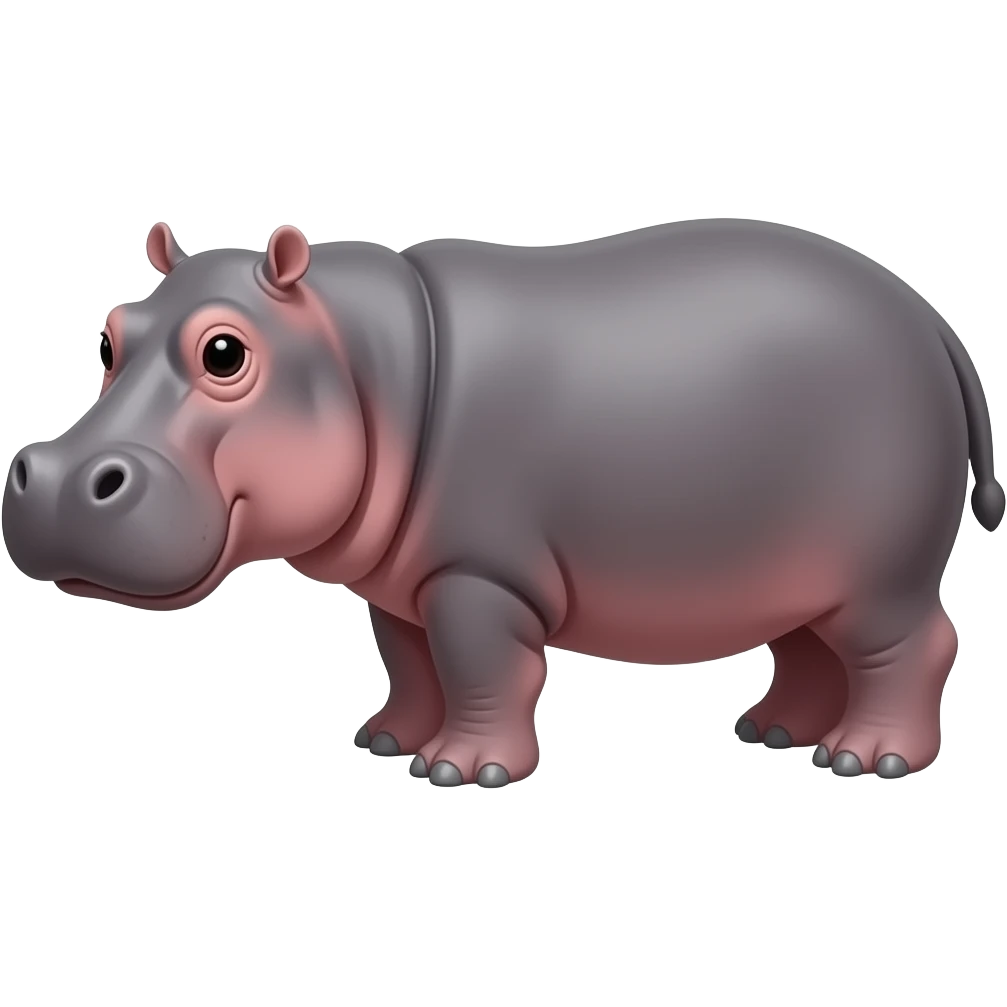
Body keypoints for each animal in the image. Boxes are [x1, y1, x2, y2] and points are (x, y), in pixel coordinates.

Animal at [2, 219, 1000, 787]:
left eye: (224, 352)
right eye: (110, 333)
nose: (49, 478)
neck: (363, 354)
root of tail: (933, 321)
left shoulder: (475, 575)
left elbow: (482, 667)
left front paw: (460, 771)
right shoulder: (400, 581)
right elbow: (411, 664)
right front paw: (386, 743)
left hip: (878, 573)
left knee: (913, 642)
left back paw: (865, 760)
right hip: (796, 564)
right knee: (806, 644)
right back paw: (771, 732)